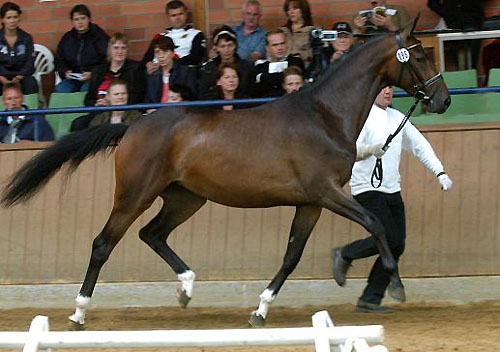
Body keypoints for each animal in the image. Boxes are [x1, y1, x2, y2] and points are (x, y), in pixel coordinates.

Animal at [1, 17, 450, 328]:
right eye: (419, 54)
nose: (443, 99)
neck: (324, 115)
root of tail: (133, 126)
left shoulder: (310, 203)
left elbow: (291, 256)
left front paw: (261, 310)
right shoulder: (327, 193)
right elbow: (375, 222)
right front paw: (396, 286)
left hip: (186, 198)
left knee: (153, 234)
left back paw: (186, 287)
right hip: (134, 194)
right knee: (103, 243)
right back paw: (79, 313)